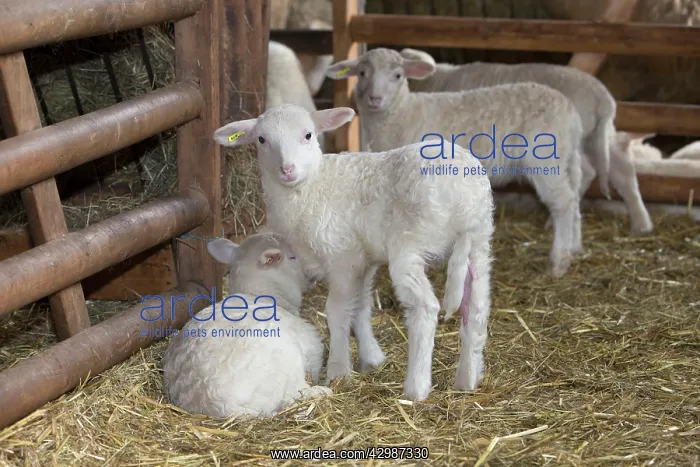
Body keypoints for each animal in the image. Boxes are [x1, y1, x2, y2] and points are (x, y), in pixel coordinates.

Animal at [161, 232, 331, 418]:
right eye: (292, 257)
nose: (314, 278)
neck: (262, 293)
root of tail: (218, 402)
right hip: (287, 359)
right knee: (294, 396)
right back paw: (322, 392)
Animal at [212, 103, 495, 402]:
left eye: (308, 135)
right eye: (261, 139)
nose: (287, 169)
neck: (310, 188)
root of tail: (464, 200)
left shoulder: (342, 255)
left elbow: (337, 311)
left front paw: (338, 370)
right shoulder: (364, 259)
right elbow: (360, 307)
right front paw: (371, 358)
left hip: (409, 245)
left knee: (425, 308)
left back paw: (416, 388)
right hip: (480, 243)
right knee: (477, 309)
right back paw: (468, 379)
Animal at [327, 47, 585, 277]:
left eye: (398, 75)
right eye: (362, 73)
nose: (375, 99)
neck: (402, 112)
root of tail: (572, 114)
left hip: (546, 159)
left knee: (563, 202)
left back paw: (558, 262)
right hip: (567, 157)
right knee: (575, 196)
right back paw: (574, 248)